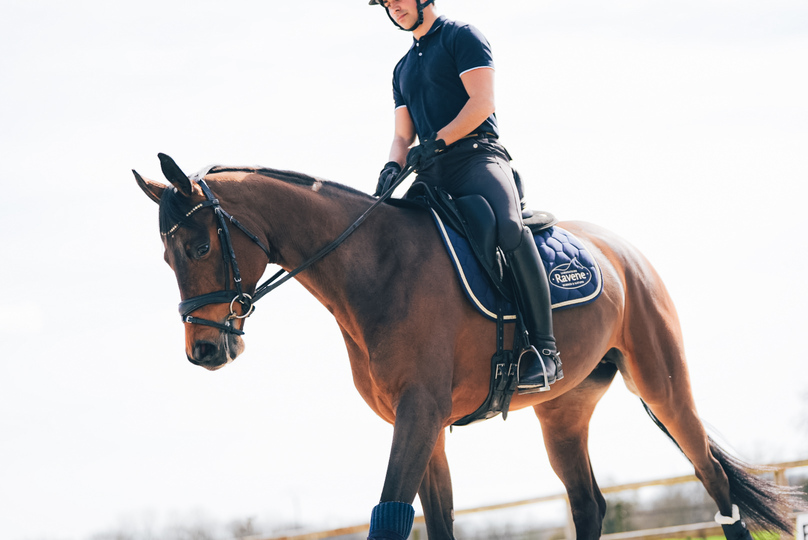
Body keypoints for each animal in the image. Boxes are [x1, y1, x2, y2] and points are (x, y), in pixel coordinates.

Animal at [133, 153, 800, 540]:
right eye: (166, 257)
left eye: (197, 247)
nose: (204, 351)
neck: (375, 266)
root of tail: (621, 251)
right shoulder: (419, 422)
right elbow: (434, 521)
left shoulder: (421, 413)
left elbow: (390, 515)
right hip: (564, 412)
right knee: (588, 504)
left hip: (665, 387)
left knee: (713, 482)